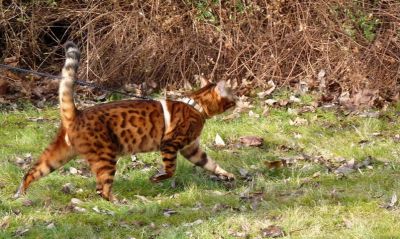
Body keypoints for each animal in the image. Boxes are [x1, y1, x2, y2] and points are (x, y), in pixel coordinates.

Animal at [14, 42, 236, 201]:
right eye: (232, 95)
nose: (238, 100)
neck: (196, 105)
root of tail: (77, 114)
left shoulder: (191, 148)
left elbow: (210, 163)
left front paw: (226, 174)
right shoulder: (171, 143)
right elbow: (170, 170)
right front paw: (156, 178)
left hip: (58, 154)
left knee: (32, 171)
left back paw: (20, 194)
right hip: (105, 156)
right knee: (102, 189)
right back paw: (119, 203)